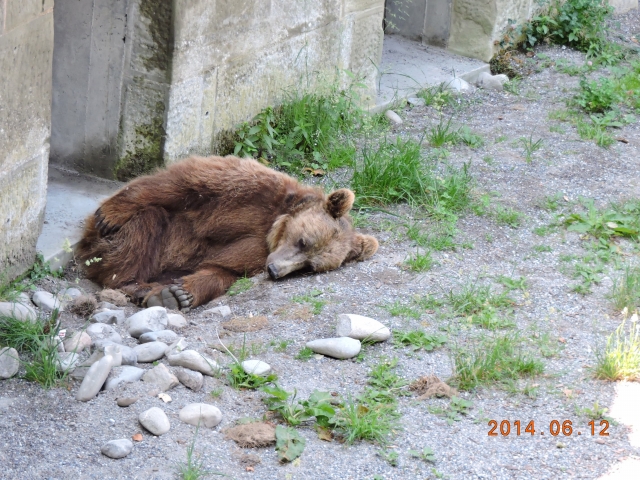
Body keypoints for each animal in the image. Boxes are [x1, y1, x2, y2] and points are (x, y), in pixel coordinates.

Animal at [77, 155, 379, 312]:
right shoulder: (248, 189)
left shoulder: (253, 252)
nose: (274, 271)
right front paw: (111, 213)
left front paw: (181, 294)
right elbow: (180, 183)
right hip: (103, 242)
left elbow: (222, 270)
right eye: (303, 242)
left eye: (310, 267)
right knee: (147, 223)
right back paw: (132, 283)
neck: (273, 225)